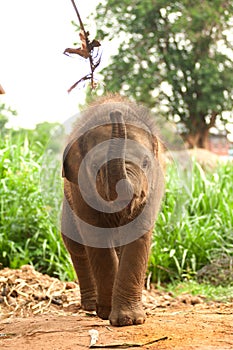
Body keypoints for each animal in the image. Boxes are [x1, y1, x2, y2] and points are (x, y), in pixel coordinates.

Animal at [61, 95, 165, 326]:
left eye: (146, 162)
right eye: (94, 166)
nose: (115, 114)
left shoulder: (154, 188)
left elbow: (138, 234)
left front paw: (129, 320)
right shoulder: (80, 190)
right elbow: (96, 237)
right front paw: (107, 313)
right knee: (75, 245)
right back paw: (91, 306)